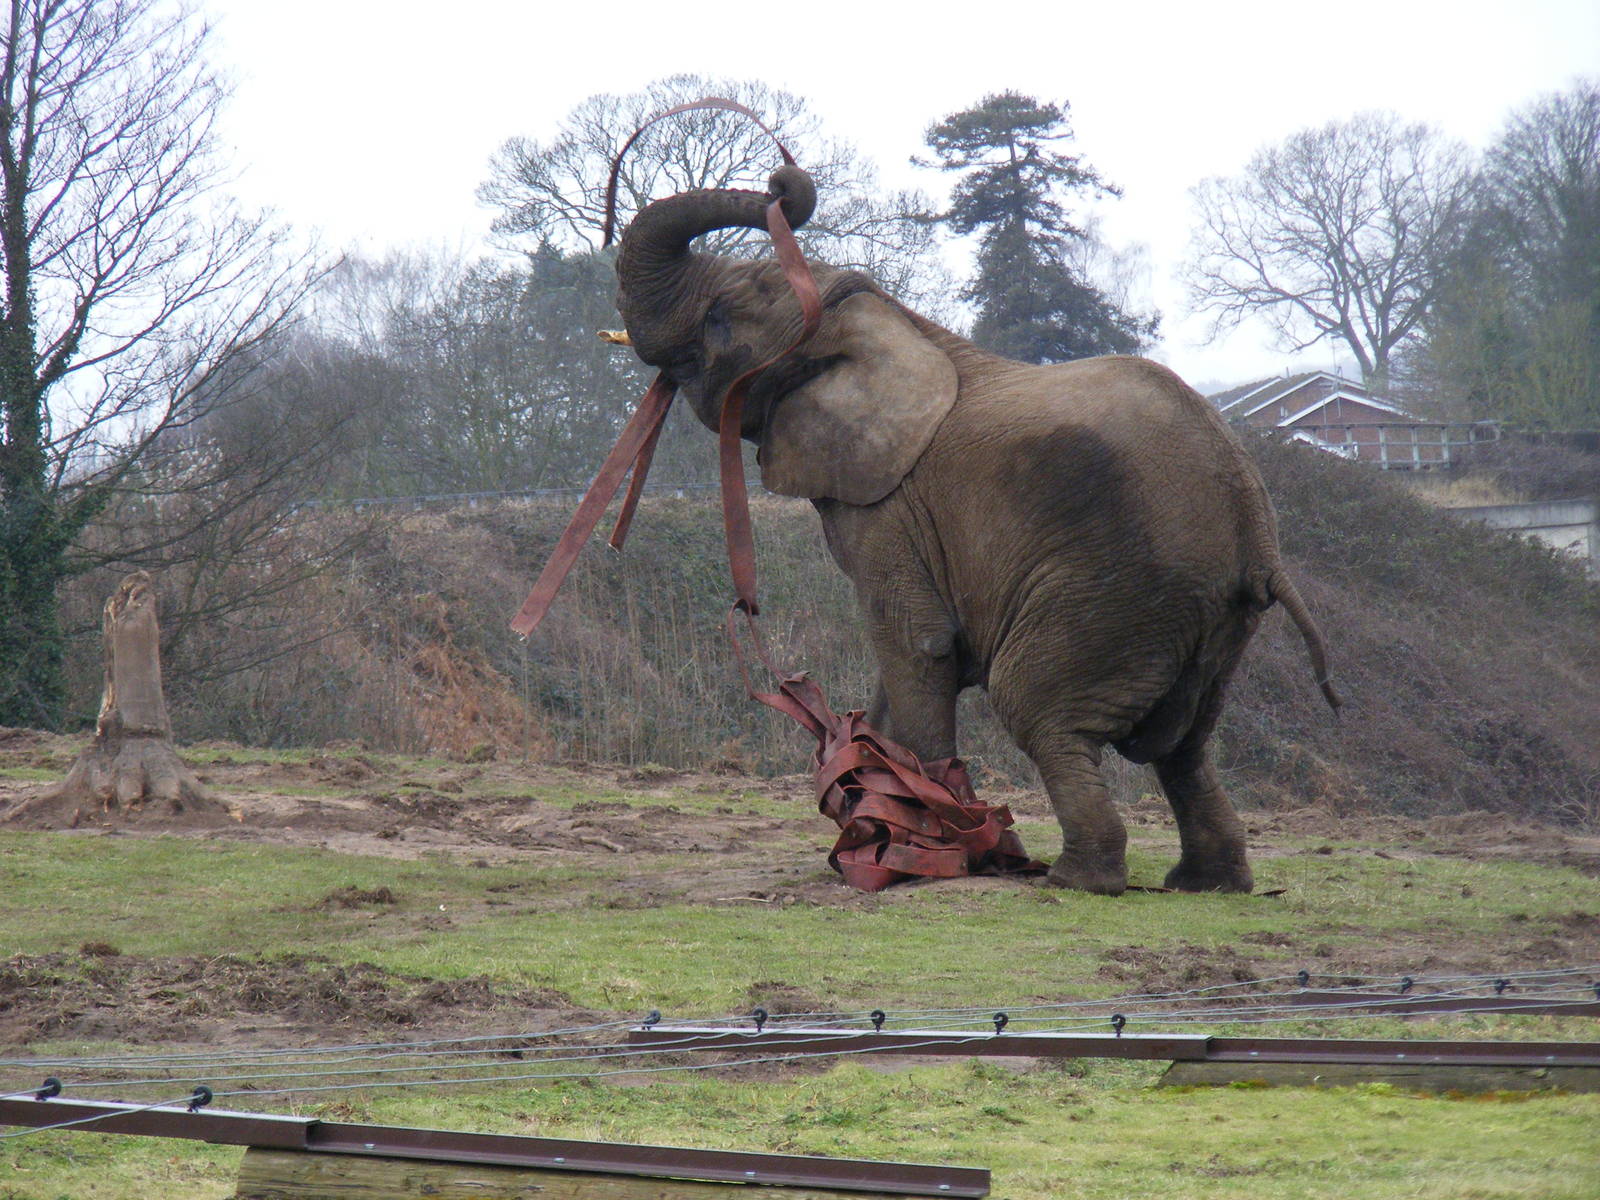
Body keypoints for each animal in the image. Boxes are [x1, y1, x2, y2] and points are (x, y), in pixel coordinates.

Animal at [611, 163, 1338, 895]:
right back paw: (1206, 883)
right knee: (1184, 749)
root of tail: (1257, 538)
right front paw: (876, 810)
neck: (883, 321)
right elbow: (902, 664)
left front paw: (917, 848)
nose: (779, 178)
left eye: (718, 319)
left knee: (1042, 712)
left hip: (1118, 592)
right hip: (1212, 621)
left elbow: (916, 644)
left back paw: (1075, 879)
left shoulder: (891, 507)